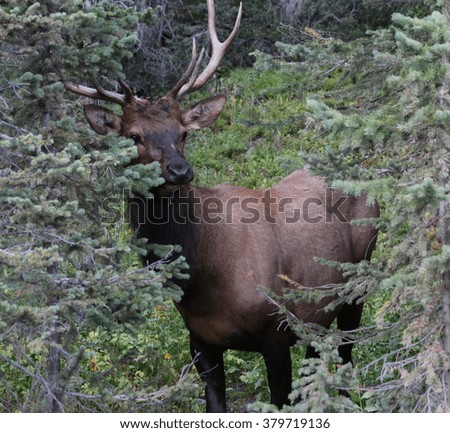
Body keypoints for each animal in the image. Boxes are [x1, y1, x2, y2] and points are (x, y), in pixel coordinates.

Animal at [65, 0, 378, 412]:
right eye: (133, 136)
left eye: (183, 132)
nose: (180, 170)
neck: (201, 279)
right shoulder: (200, 338)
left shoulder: (276, 328)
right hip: (319, 311)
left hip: (359, 281)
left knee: (345, 356)